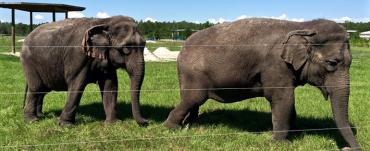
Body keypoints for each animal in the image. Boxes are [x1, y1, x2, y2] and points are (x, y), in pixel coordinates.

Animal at [165, 18, 362, 149]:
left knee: (193, 102)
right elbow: (282, 98)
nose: (346, 148)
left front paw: (293, 133)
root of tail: (182, 49)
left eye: (351, 62)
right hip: (193, 74)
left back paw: (190, 125)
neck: (301, 26)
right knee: (193, 99)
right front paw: (280, 143)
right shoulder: (276, 66)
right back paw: (172, 128)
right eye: (332, 63)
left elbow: (288, 101)